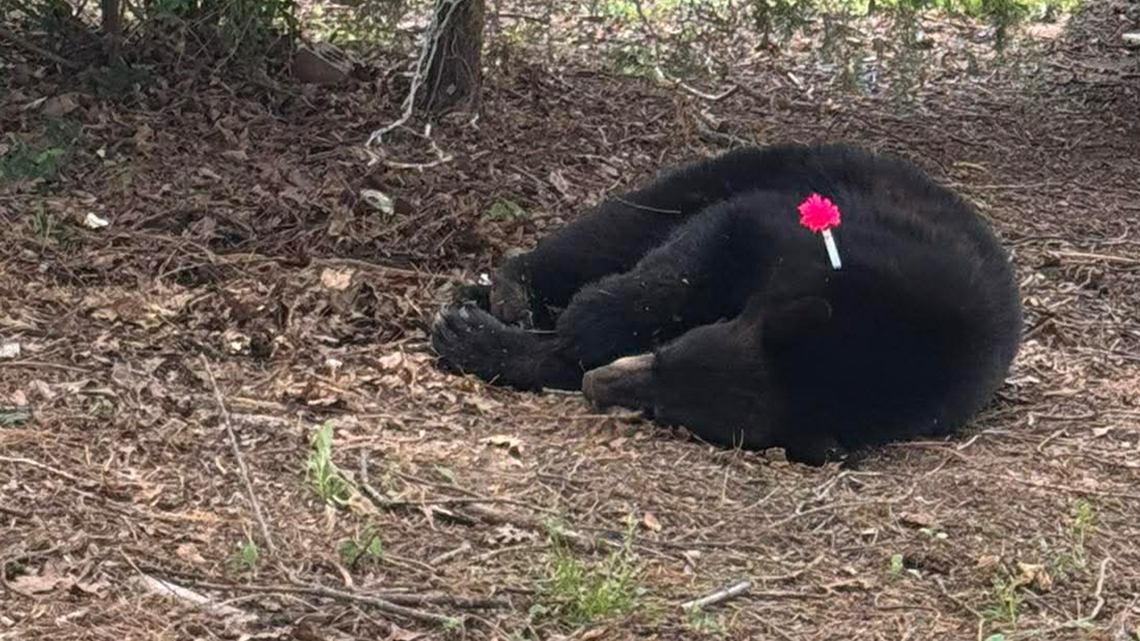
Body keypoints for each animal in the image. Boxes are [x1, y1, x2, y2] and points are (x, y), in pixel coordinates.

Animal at [430, 143, 1023, 465]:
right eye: (666, 355)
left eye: (669, 412)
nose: (597, 385)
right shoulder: (842, 246)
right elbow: (720, 237)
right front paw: (584, 319)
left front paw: (499, 345)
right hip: (756, 169)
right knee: (619, 226)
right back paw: (511, 291)